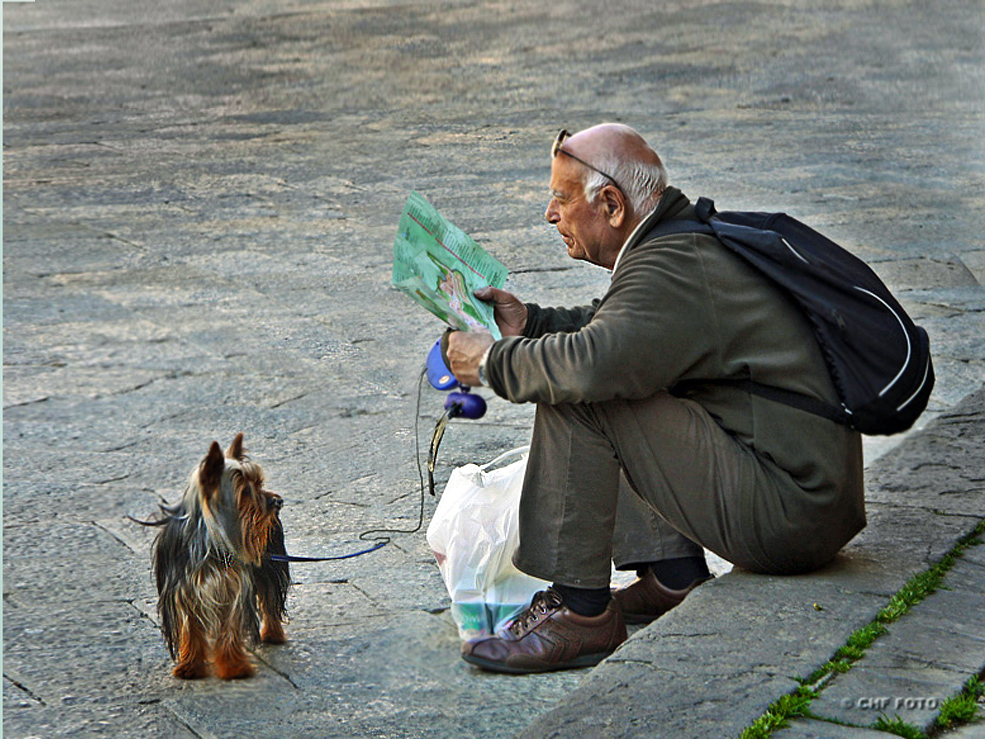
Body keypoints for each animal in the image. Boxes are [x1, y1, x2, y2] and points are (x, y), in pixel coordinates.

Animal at [148, 434, 290, 684]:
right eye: (245, 492)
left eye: (259, 483)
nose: (278, 501)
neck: (211, 541)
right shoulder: (184, 590)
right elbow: (191, 628)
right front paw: (190, 666)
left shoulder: (233, 588)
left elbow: (230, 628)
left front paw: (234, 667)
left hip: (269, 564)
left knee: (269, 596)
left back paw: (273, 633)